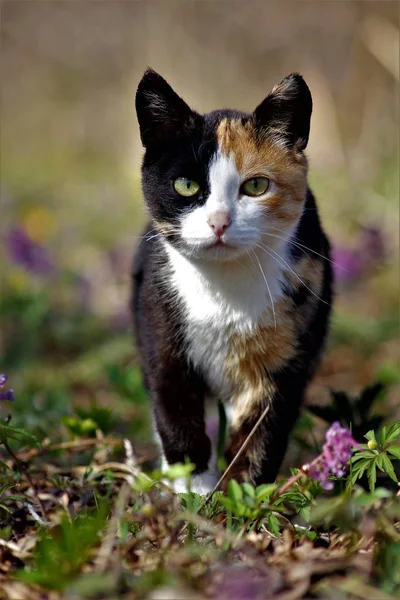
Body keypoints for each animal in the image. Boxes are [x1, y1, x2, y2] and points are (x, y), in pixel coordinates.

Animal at [133, 68, 332, 494]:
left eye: (256, 186)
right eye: (186, 185)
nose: (219, 222)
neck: (225, 295)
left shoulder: (284, 365)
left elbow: (260, 437)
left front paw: (243, 496)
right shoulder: (162, 342)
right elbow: (177, 420)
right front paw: (194, 495)